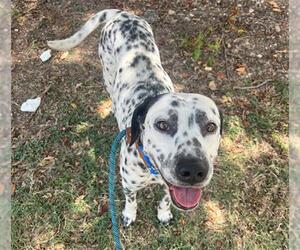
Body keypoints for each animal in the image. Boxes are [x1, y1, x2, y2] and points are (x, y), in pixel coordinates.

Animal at [47, 8, 223, 227]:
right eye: (162, 124)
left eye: (210, 126)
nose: (193, 171)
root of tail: (122, 14)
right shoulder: (128, 184)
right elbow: (131, 201)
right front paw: (129, 215)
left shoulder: (168, 188)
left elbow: (165, 199)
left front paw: (163, 213)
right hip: (107, 73)